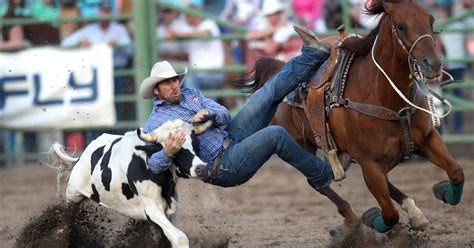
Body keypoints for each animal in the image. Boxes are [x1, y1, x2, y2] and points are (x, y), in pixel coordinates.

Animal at [243, 0, 464, 233]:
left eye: (431, 20)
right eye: (401, 26)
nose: (433, 64)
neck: (386, 99)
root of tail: (278, 70)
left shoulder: (428, 139)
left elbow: (456, 172)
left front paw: (442, 190)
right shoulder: (369, 163)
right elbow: (390, 215)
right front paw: (371, 217)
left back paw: (413, 211)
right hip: (300, 145)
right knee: (317, 181)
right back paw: (351, 217)